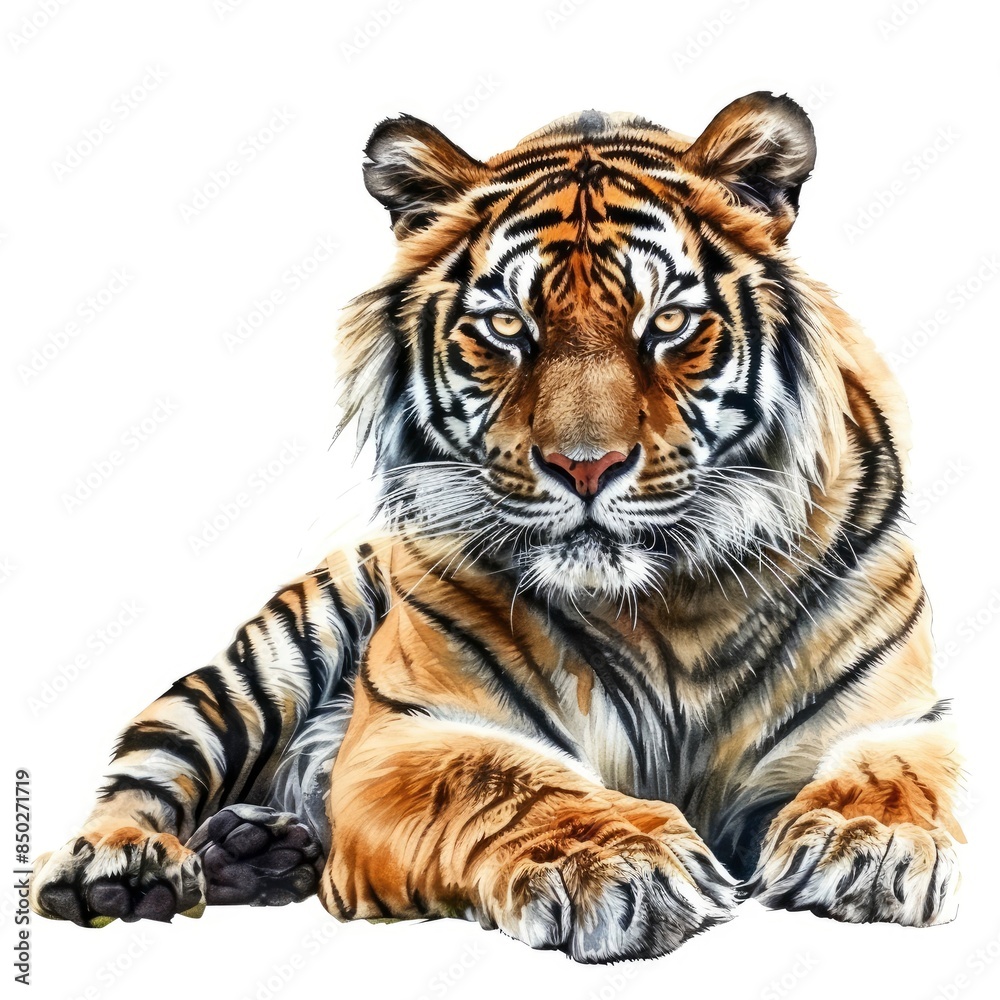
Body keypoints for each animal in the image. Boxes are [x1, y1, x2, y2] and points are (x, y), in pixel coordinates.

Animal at [29, 92, 964, 963]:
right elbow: (502, 779)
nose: (586, 466)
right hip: (263, 666)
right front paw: (621, 863)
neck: (666, 611)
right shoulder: (410, 733)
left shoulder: (893, 716)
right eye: (508, 326)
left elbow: (892, 773)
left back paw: (256, 853)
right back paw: (126, 865)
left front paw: (873, 845)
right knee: (150, 764)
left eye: (666, 322)